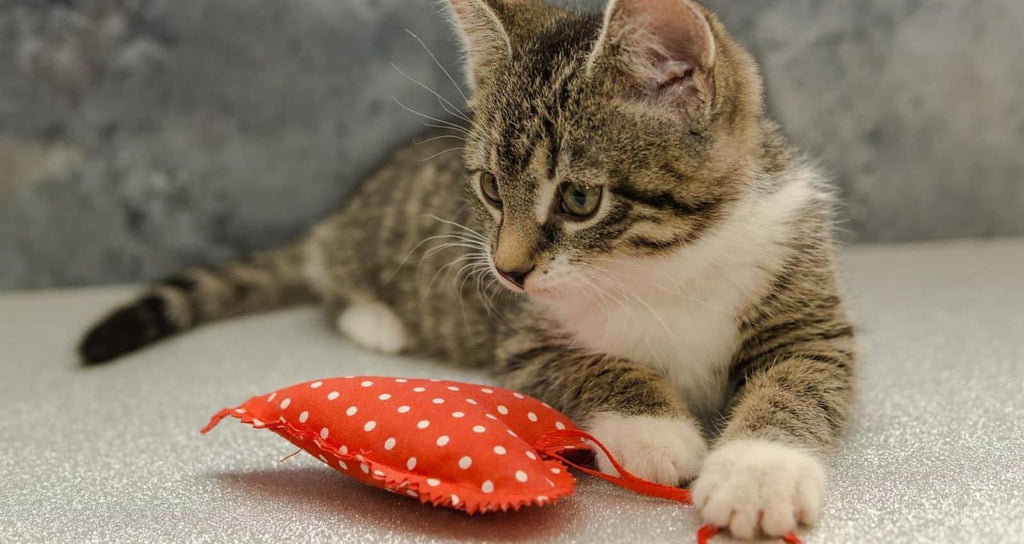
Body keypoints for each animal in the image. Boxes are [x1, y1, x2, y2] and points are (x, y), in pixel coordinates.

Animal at [79, 0, 856, 536]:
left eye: (579, 199)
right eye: (488, 189)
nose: (509, 271)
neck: (662, 265)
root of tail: (341, 214)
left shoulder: (809, 308)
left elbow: (803, 379)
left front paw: (759, 472)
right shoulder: (523, 335)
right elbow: (594, 364)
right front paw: (655, 431)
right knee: (334, 284)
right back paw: (376, 319)